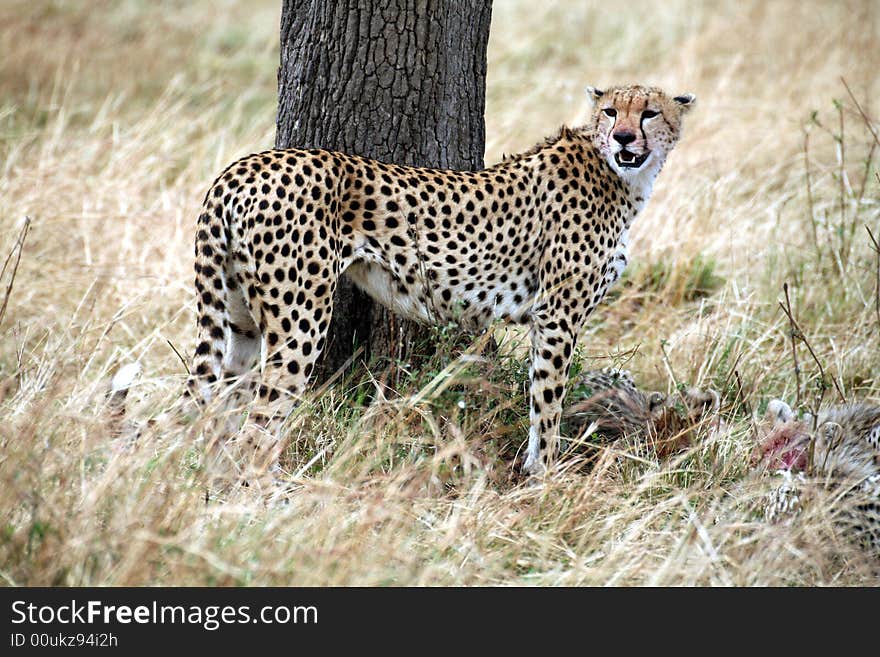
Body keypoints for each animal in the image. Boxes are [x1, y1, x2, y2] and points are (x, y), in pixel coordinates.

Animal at [191, 84, 696, 480]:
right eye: (611, 111)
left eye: (649, 112)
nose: (624, 136)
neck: (621, 175)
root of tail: (244, 166)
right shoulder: (557, 316)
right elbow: (549, 401)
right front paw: (548, 477)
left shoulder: (548, 318)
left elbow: (541, 395)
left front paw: (536, 471)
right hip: (300, 321)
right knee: (257, 428)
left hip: (240, 320)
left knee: (219, 413)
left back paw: (215, 497)